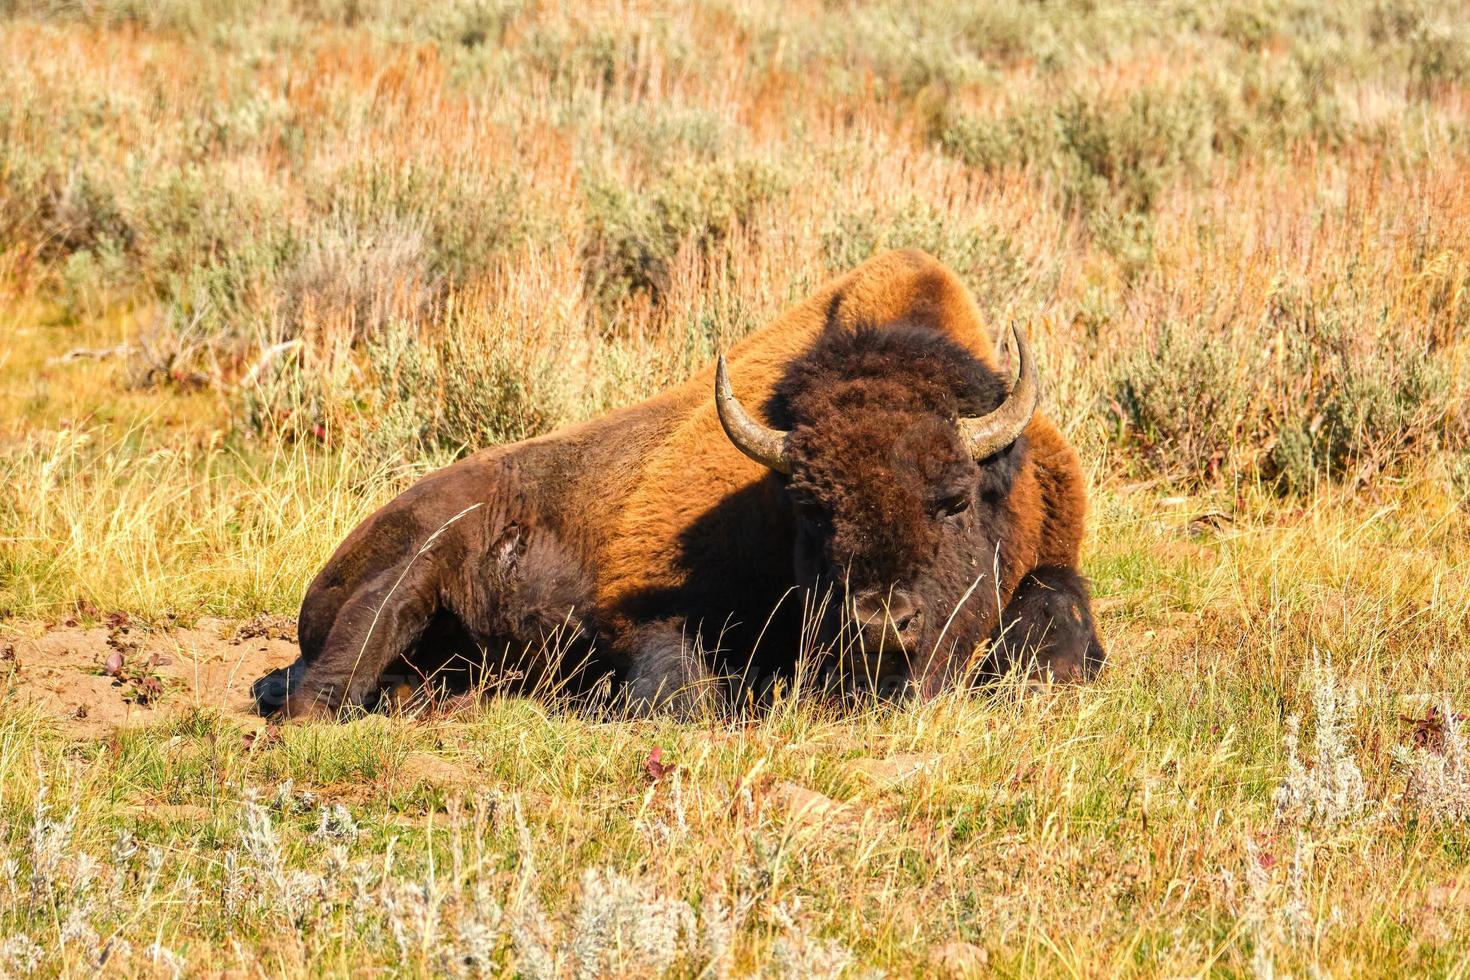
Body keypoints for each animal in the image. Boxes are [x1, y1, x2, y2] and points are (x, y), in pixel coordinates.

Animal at [255, 249, 1105, 717]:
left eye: (955, 500)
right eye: (811, 509)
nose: (876, 625)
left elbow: (1058, 613)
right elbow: (681, 689)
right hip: (416, 562)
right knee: (322, 687)